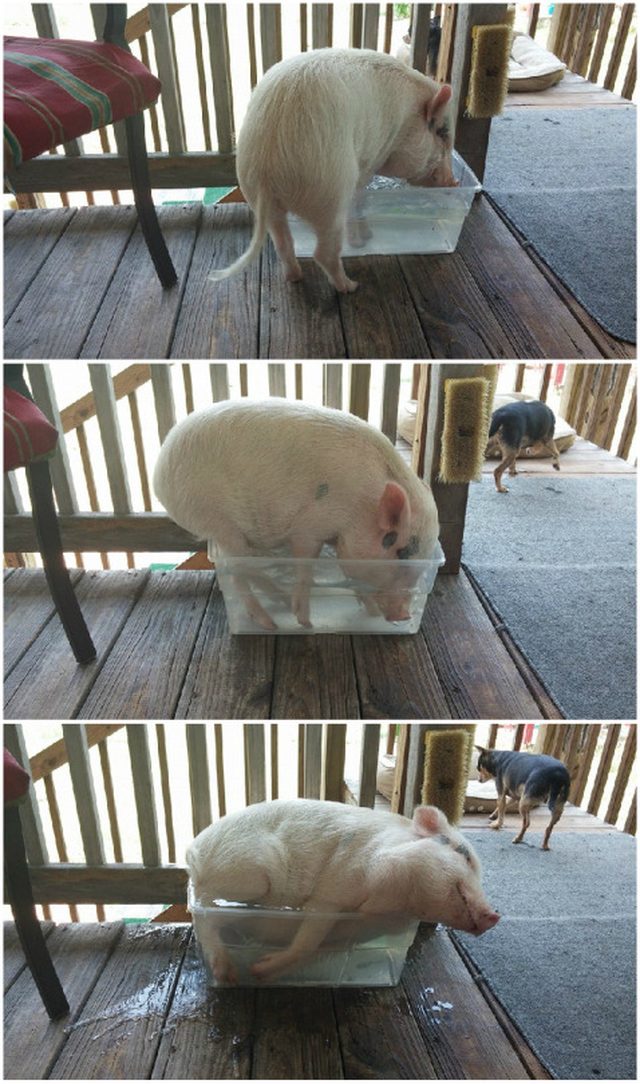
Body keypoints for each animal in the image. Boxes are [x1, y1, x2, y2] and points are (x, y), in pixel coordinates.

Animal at [152, 398, 439, 630]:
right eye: (402, 552)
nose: (404, 615)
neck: (362, 505)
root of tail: (159, 477)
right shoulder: (309, 526)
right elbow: (305, 566)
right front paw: (305, 623)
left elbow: (349, 573)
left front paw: (368, 612)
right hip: (217, 519)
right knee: (237, 570)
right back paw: (270, 624)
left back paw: (276, 598)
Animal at [187, 799, 500, 981]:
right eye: (464, 855)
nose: (494, 915)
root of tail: (194, 850)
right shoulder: (334, 890)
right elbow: (308, 938)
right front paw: (258, 969)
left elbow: (316, 947)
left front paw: (263, 973)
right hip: (249, 875)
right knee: (203, 910)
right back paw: (227, 974)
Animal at [209, 47, 457, 293]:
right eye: (442, 133)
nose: (453, 182)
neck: (406, 121)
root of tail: (267, 166)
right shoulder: (371, 158)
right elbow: (360, 198)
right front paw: (364, 239)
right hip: (330, 191)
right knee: (324, 251)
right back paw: (350, 286)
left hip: (256, 192)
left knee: (283, 242)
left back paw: (295, 277)